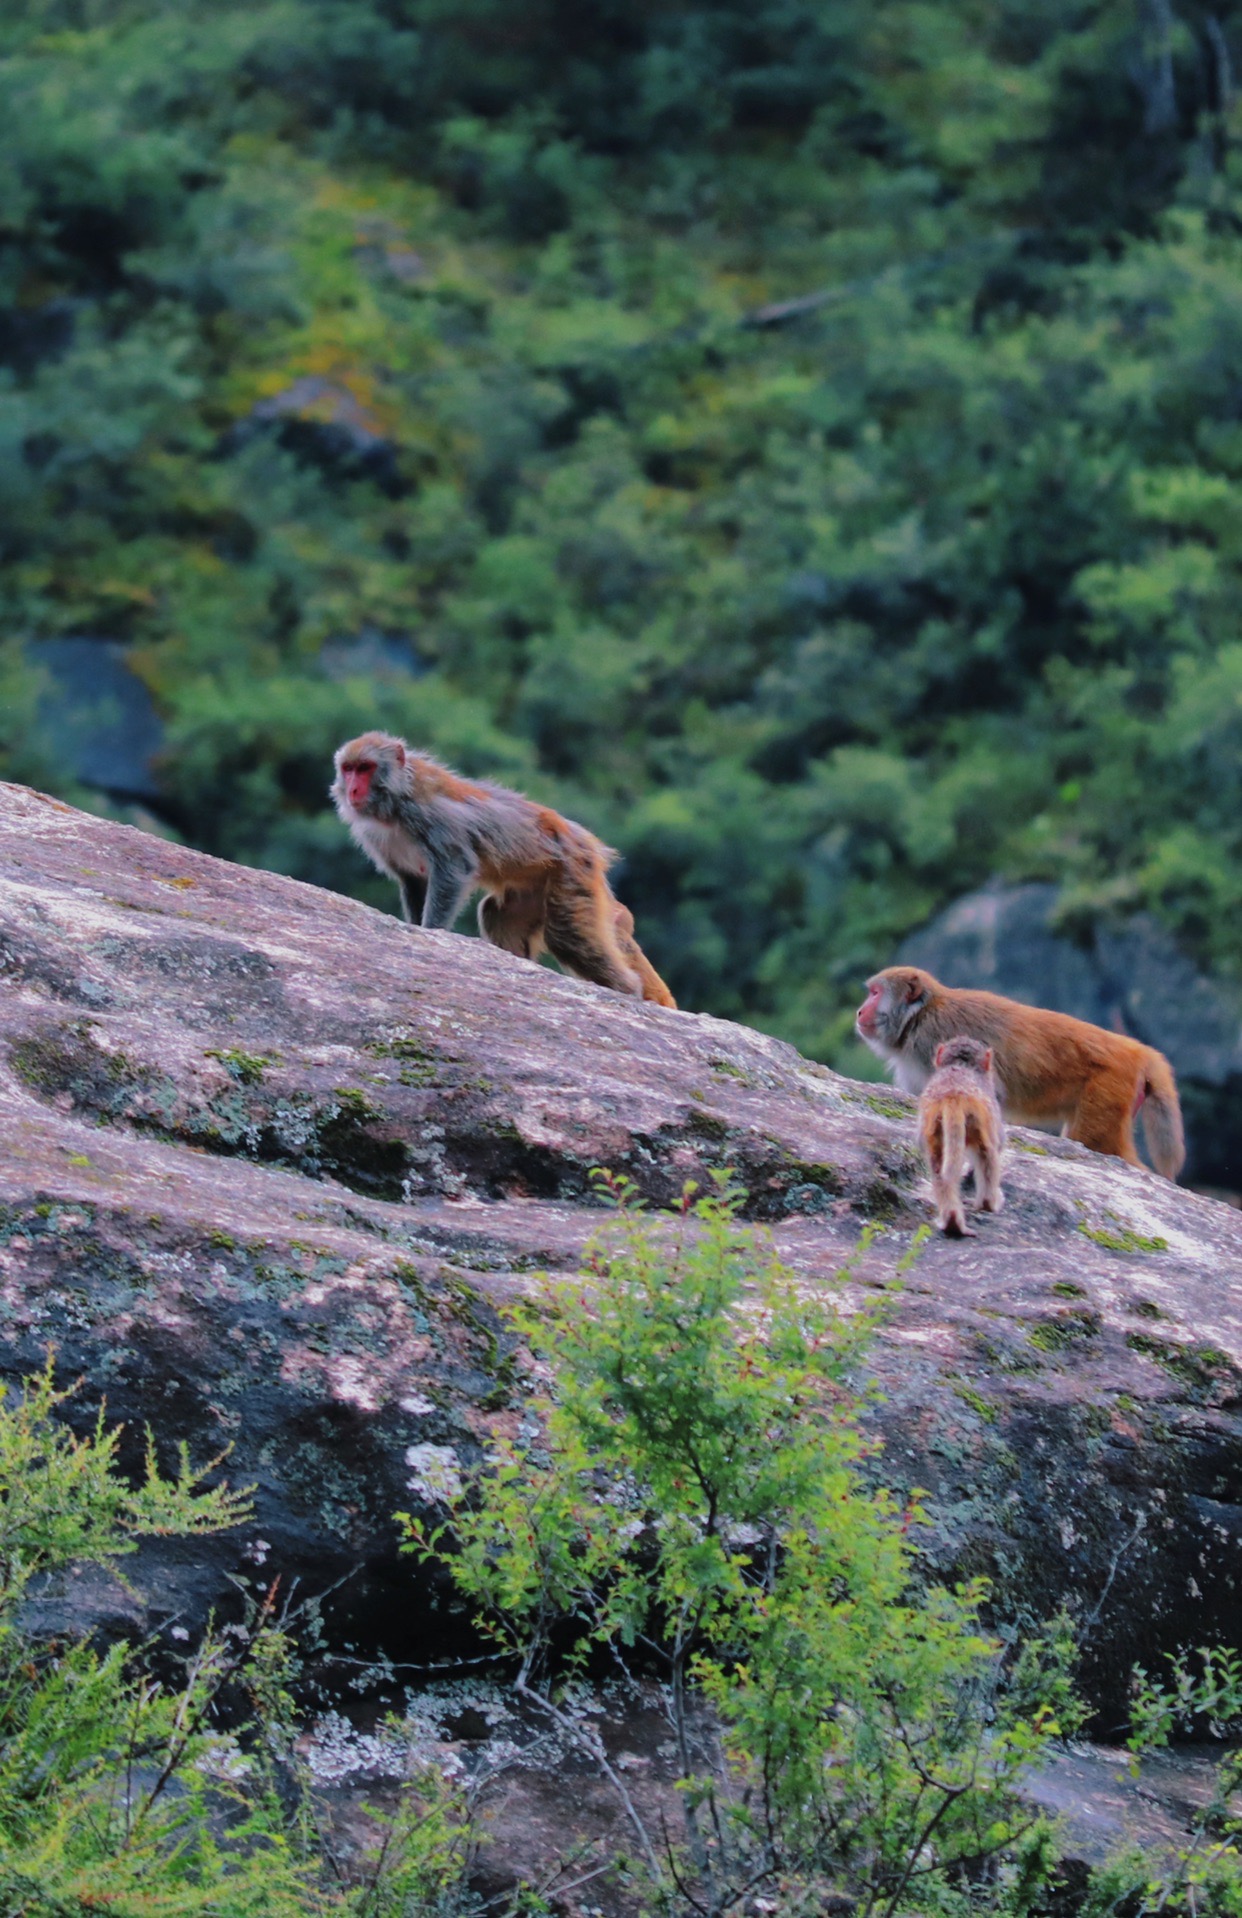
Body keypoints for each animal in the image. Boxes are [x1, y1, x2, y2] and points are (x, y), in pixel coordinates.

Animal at [854, 966, 1180, 1173]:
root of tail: (1136, 1049)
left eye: (875, 993)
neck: (916, 1017)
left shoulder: (934, 1039)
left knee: (1095, 1140)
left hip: (1107, 1084)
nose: (859, 1011)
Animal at [916, 1043, 1004, 1235]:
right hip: (977, 1118)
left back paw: (952, 1221)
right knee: (987, 1153)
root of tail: (953, 1095)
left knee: (939, 1166)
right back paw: (987, 1204)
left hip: (936, 1124)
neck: (960, 1065)